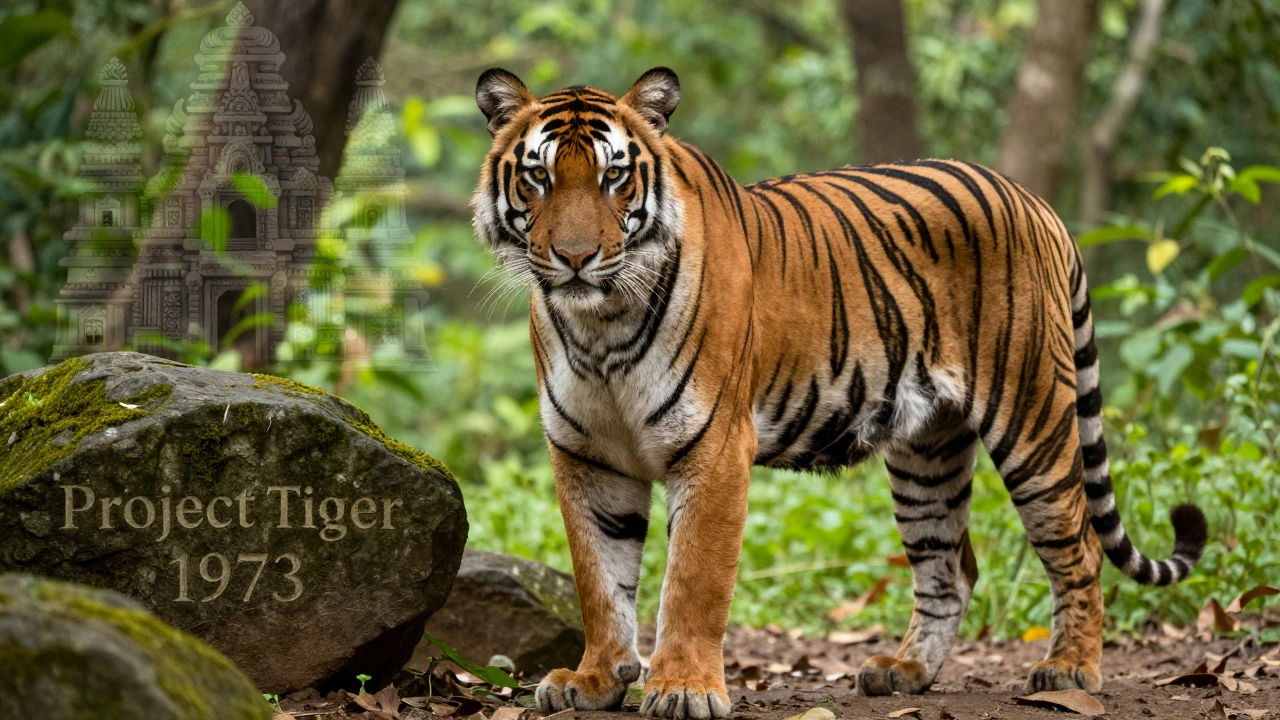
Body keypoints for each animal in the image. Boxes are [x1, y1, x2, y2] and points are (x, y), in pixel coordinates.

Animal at [470, 66, 1207, 719]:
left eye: (613, 176)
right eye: (538, 176)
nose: (574, 258)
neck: (600, 329)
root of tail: (1035, 201)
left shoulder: (713, 448)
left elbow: (692, 583)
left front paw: (683, 688)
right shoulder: (586, 456)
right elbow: (600, 579)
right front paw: (594, 680)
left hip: (1034, 421)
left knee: (1078, 548)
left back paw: (1070, 670)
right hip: (926, 452)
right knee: (951, 567)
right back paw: (905, 670)